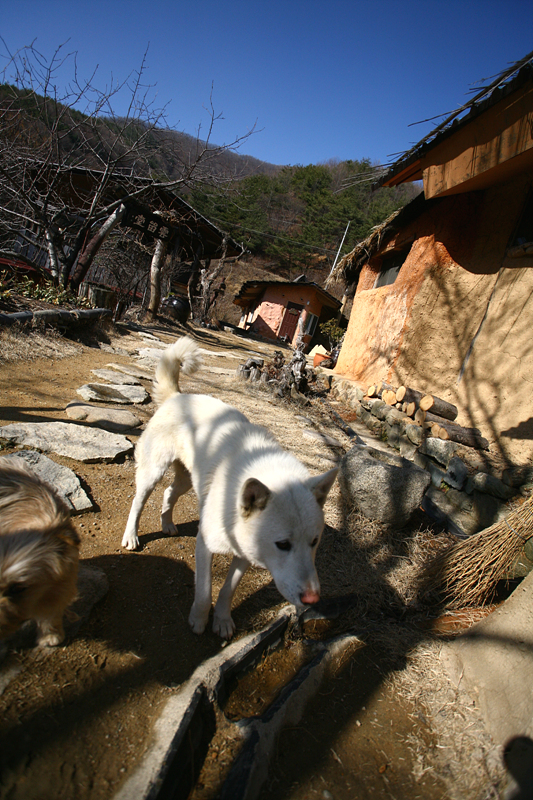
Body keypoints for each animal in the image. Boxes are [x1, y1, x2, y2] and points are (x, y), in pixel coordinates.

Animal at [122, 338, 334, 636]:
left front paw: (221, 621)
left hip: (187, 480)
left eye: (314, 542)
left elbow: (227, 591)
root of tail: (178, 396)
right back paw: (131, 536)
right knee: (138, 502)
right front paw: (199, 621)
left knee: (168, 494)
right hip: (153, 472)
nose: (313, 599)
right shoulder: (204, 544)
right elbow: (204, 591)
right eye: (282, 545)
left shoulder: (244, 554)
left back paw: (168, 524)